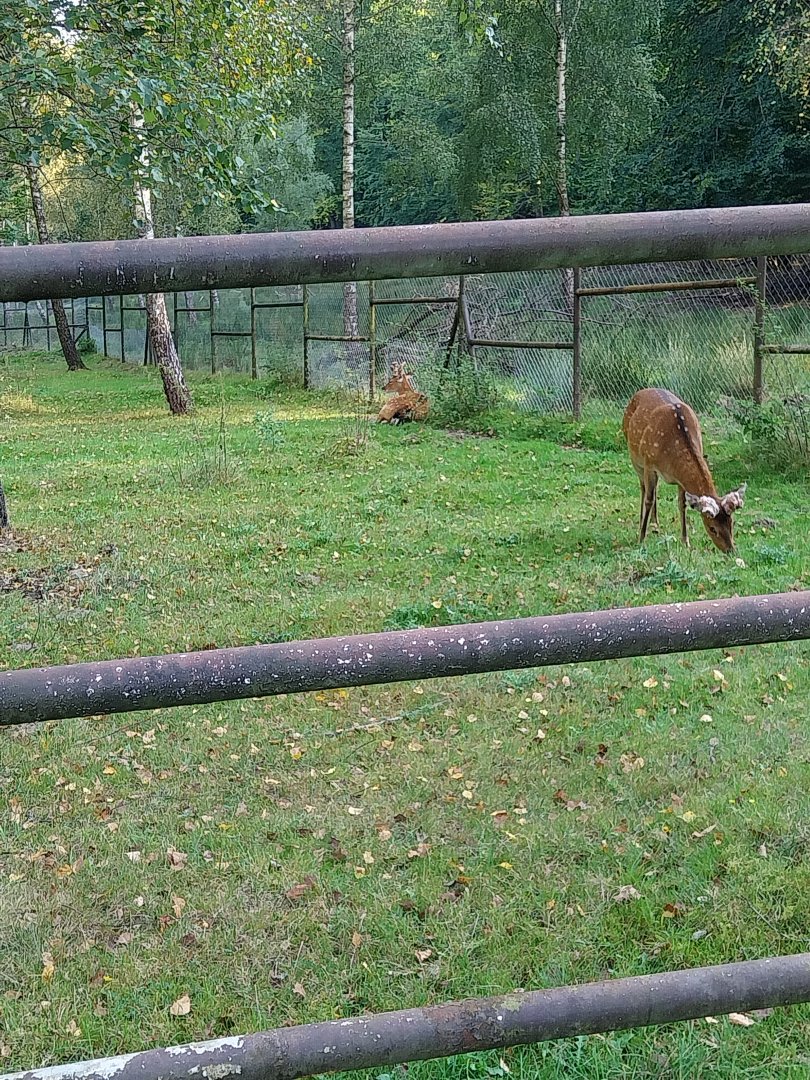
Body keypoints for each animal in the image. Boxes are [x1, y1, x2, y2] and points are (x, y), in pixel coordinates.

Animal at [623, 388, 746, 553]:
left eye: (731, 523)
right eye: (712, 528)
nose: (730, 550)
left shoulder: (680, 480)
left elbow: (682, 504)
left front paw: (685, 541)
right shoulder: (649, 463)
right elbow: (649, 499)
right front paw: (641, 539)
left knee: (655, 490)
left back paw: (655, 524)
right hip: (635, 457)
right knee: (644, 488)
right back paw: (643, 521)